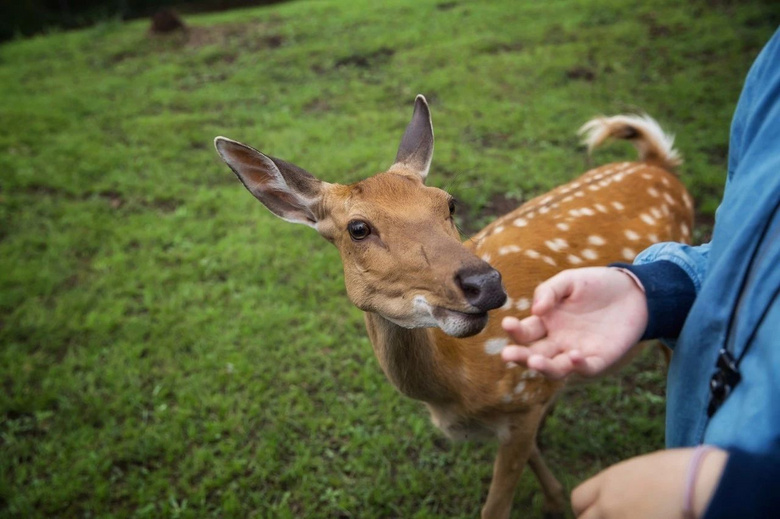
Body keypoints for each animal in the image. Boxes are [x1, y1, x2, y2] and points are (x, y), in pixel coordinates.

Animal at [213, 95, 696, 516]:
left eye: (449, 202)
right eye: (357, 228)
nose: (486, 284)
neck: (457, 390)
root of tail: (660, 166)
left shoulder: (522, 401)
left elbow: (496, 506)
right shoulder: (526, 402)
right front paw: (557, 498)